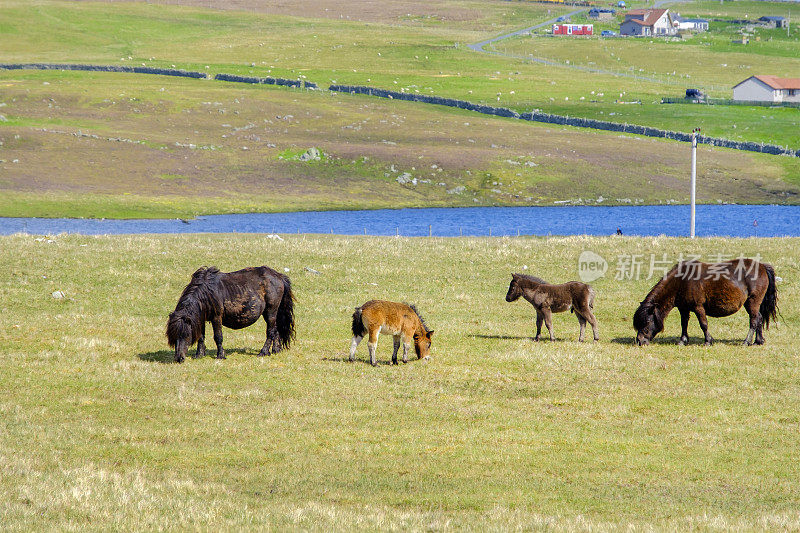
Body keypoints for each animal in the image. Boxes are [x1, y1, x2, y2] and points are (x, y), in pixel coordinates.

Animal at [167, 264, 296, 362]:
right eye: (173, 336)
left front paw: (220, 355)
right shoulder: (201, 318)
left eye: (186, 334)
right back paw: (276, 350)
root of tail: (279, 276)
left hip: (270, 311)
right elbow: (201, 337)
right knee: (276, 330)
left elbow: (218, 337)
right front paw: (199, 354)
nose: (179, 358)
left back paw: (263, 352)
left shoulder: (216, 317)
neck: (206, 293)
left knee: (271, 332)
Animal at [636, 256, 780, 344]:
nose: (640, 341)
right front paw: (683, 340)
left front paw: (708, 341)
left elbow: (703, 324)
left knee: (754, 320)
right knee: (760, 318)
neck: (682, 281)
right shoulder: (683, 308)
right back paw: (758, 341)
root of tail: (762, 266)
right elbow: (684, 323)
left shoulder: (698, 307)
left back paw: (746, 342)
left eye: (647, 321)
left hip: (752, 301)